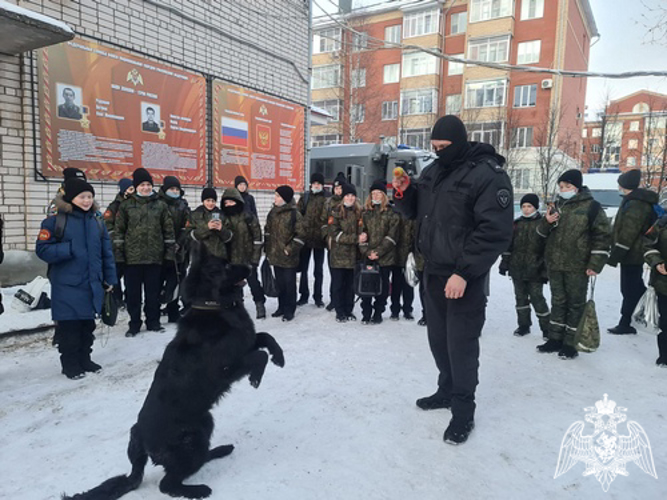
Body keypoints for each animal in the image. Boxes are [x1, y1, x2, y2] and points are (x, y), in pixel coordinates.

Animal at [65, 244, 288, 498]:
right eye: (226, 266)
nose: (251, 266)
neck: (214, 306)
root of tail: (141, 440)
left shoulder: (247, 342)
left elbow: (266, 338)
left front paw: (279, 357)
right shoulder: (226, 369)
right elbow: (259, 355)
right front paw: (255, 378)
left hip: (205, 424)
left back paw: (220, 450)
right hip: (196, 435)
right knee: (168, 484)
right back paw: (199, 489)